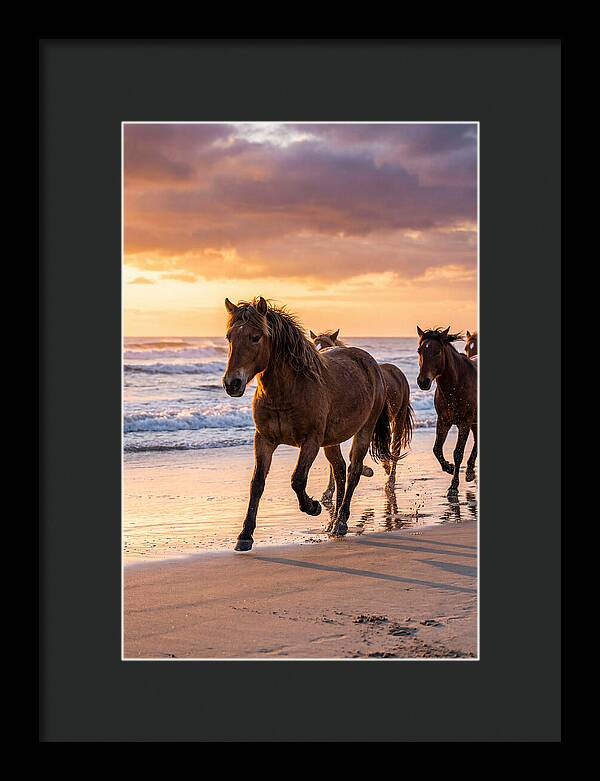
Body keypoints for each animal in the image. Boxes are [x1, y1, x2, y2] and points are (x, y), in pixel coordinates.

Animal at [222, 297, 393, 550]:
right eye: (229, 337)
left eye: (255, 337)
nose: (232, 383)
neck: (287, 390)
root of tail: (371, 364)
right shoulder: (264, 440)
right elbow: (257, 483)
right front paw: (245, 535)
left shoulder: (310, 441)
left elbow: (297, 479)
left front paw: (312, 507)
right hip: (331, 441)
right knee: (340, 470)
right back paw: (333, 523)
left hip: (363, 431)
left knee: (353, 471)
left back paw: (341, 522)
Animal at [309, 329, 414, 493]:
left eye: (326, 345)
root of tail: (397, 371)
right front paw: (329, 491)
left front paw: (366, 470)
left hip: (398, 418)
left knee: (395, 449)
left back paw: (390, 481)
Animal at [416, 326, 477, 495]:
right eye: (419, 350)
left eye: (437, 351)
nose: (423, 382)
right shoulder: (443, 421)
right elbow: (437, 449)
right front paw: (448, 467)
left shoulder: (465, 423)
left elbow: (458, 453)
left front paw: (453, 486)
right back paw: (470, 471)